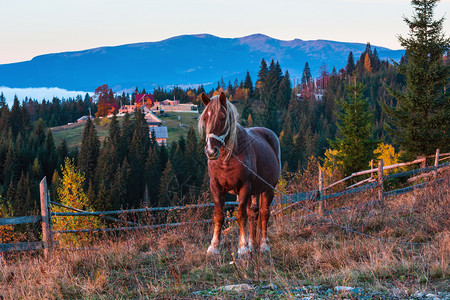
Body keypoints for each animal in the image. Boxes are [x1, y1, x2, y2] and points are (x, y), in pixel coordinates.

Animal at [199, 92, 280, 255]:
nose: (211, 151)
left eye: (222, 118)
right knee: (253, 213)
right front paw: (214, 247)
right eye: (205, 118)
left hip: (268, 189)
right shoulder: (216, 187)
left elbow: (241, 216)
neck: (227, 159)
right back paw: (252, 244)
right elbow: (219, 216)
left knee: (264, 213)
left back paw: (263, 245)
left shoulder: (244, 187)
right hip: (253, 192)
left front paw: (242, 248)